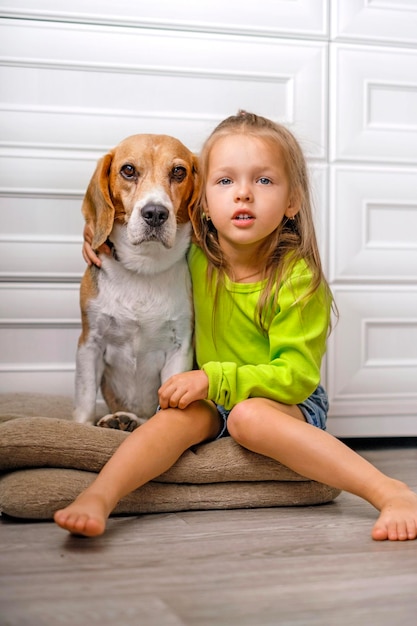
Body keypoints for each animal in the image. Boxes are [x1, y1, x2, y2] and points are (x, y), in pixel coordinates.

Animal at [72, 133, 199, 428]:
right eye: (128, 170)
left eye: (179, 171)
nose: (155, 213)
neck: (144, 269)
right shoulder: (89, 342)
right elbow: (85, 400)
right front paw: (82, 426)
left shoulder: (179, 348)